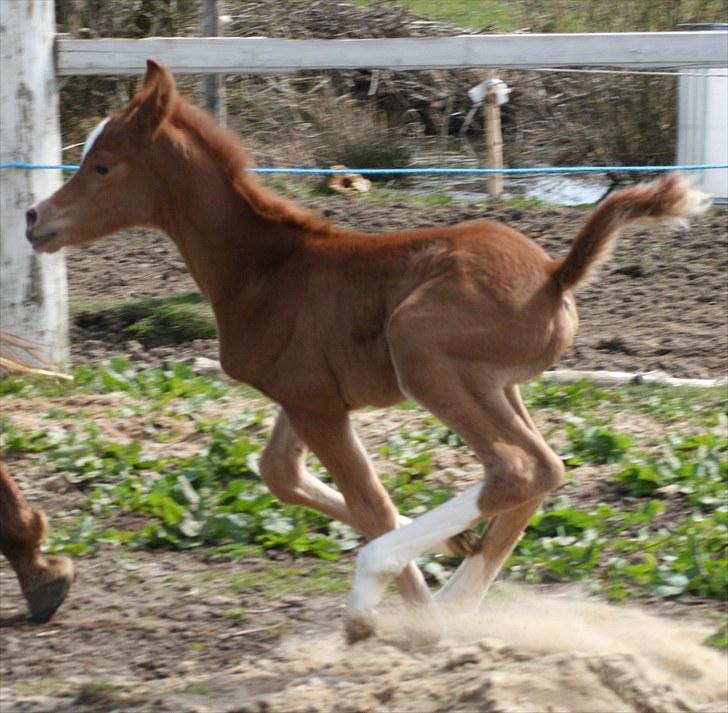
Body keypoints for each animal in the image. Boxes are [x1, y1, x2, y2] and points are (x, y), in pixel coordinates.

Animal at [27, 61, 704, 640]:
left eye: (103, 166)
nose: (36, 219)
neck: (266, 270)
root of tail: (556, 275)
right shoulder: (304, 400)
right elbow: (282, 476)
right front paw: (448, 552)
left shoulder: (317, 408)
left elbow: (370, 504)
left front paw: (400, 615)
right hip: (496, 384)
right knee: (544, 468)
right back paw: (460, 595)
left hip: (422, 355)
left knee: (518, 468)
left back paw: (396, 590)